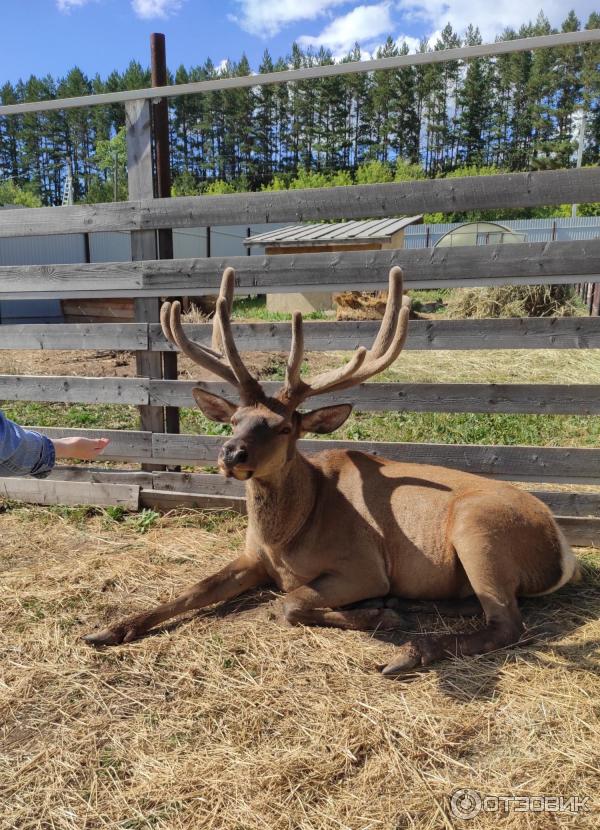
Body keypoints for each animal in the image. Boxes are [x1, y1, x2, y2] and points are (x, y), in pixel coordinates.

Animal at [82, 268, 580, 676]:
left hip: (479, 530)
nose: (231, 454)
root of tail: (564, 552)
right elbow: (193, 588)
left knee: (508, 624)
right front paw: (109, 629)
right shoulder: (252, 558)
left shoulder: (363, 565)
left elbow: (290, 604)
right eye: (235, 419)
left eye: (284, 426)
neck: (286, 541)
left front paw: (379, 615)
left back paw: (408, 649)